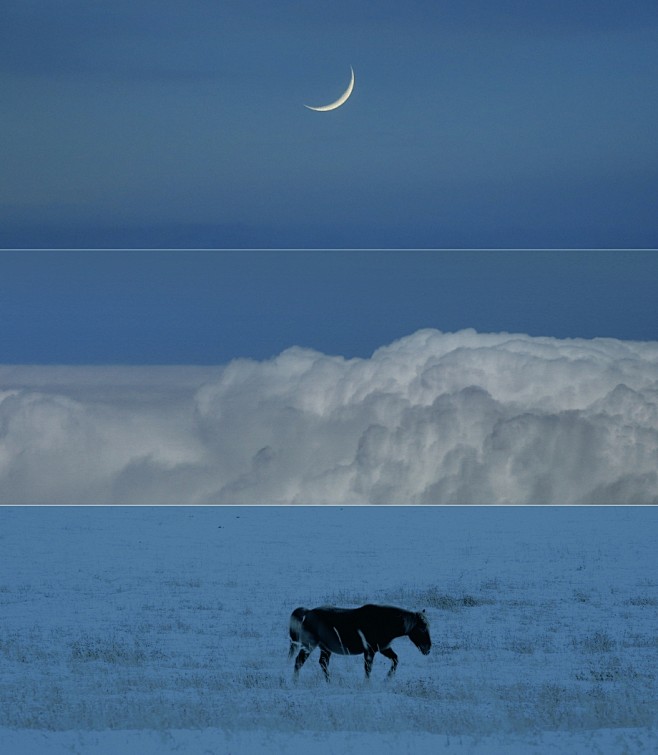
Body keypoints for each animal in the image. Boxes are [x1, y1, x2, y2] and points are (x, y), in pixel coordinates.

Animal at [288, 604, 430, 684]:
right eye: (422, 627)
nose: (428, 648)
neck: (383, 621)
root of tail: (307, 612)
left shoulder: (383, 648)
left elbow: (395, 660)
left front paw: (387, 679)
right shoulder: (370, 651)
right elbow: (368, 669)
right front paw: (367, 684)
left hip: (325, 648)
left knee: (322, 663)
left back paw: (329, 682)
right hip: (310, 645)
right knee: (299, 661)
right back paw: (295, 682)